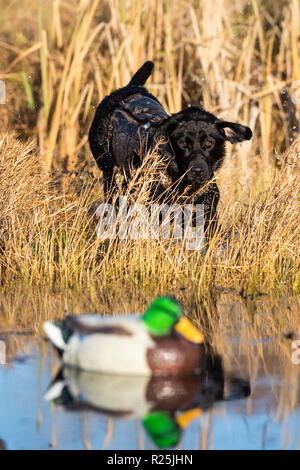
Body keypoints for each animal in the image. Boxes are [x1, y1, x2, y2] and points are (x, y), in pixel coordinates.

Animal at [88, 62, 252, 237]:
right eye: (183, 144)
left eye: (208, 143)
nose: (197, 171)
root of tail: (128, 89)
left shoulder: (207, 209)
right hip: (106, 166)